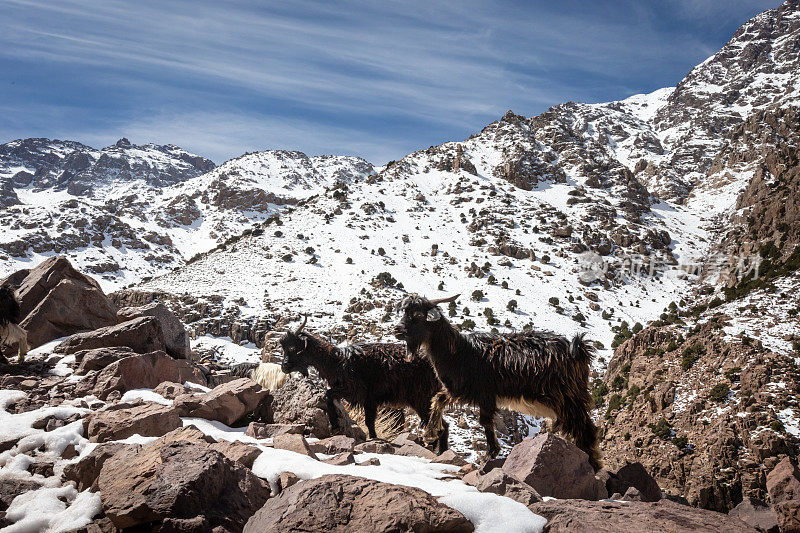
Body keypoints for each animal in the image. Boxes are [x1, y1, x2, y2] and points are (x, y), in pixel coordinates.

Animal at [278, 314, 446, 450]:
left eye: (292, 347)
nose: (284, 366)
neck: (337, 361)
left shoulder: (355, 390)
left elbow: (329, 394)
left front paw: (335, 425)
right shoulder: (369, 400)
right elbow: (369, 422)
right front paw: (373, 438)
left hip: (422, 399)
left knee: (441, 426)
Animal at [394, 290, 600, 470]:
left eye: (418, 315)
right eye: (403, 311)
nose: (397, 329)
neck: (459, 353)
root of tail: (578, 349)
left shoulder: (485, 394)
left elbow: (485, 421)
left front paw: (490, 453)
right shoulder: (459, 390)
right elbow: (438, 399)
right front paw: (430, 433)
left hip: (568, 397)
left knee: (585, 429)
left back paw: (594, 465)